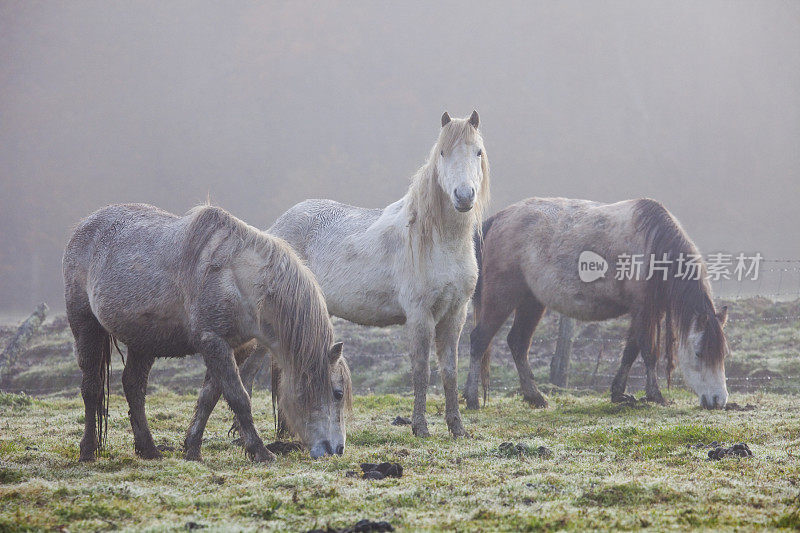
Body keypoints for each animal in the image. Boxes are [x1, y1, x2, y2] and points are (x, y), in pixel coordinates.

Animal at [62, 204, 350, 462]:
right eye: (338, 393)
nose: (337, 449)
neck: (240, 281)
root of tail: (83, 227)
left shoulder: (233, 347)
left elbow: (209, 398)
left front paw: (192, 449)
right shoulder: (213, 342)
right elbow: (238, 397)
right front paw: (260, 451)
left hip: (143, 342)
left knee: (134, 387)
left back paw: (149, 450)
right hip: (85, 327)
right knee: (91, 388)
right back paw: (88, 451)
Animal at [234, 111, 490, 436]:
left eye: (477, 152)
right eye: (443, 152)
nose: (464, 196)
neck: (439, 240)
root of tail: (273, 233)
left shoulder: (455, 313)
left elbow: (449, 371)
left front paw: (457, 429)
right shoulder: (420, 315)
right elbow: (421, 371)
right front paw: (420, 427)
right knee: (247, 372)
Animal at [462, 197, 732, 410]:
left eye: (723, 354)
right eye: (699, 353)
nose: (718, 400)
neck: (653, 246)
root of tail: (498, 219)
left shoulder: (644, 312)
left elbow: (630, 351)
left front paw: (619, 393)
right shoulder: (644, 310)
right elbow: (649, 351)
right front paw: (655, 395)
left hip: (532, 302)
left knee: (518, 343)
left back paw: (535, 397)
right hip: (502, 298)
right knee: (479, 340)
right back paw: (472, 399)